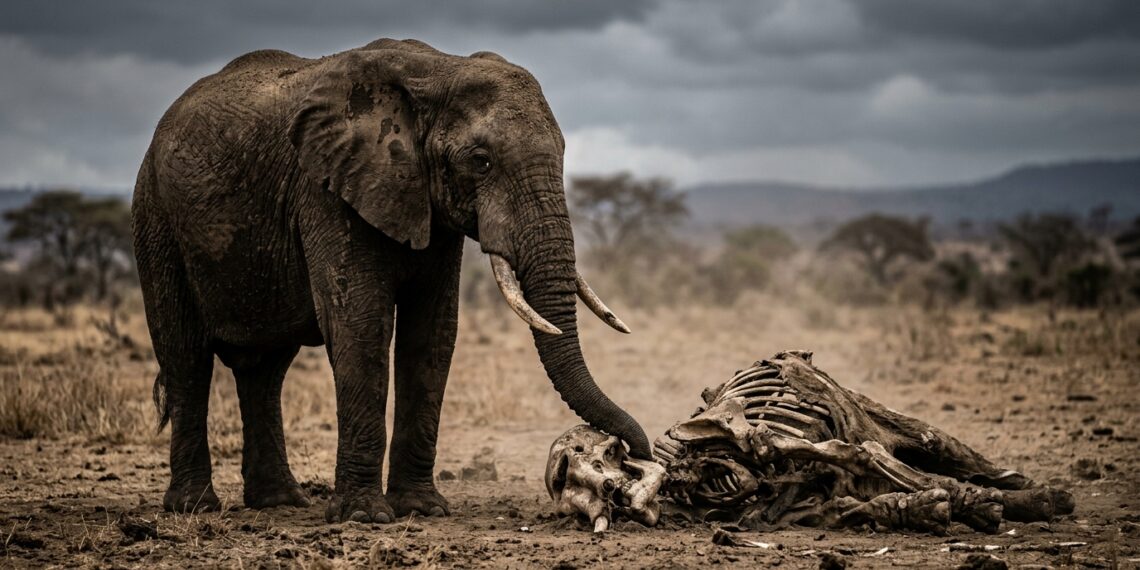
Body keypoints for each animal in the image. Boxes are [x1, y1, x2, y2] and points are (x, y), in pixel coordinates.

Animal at [131, 37, 651, 523]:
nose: (633, 456)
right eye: (481, 161)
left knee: (265, 370)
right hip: (156, 219)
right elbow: (361, 326)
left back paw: (280, 501)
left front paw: (422, 509)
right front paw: (363, 516)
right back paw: (194, 507)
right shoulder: (327, 189)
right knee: (186, 357)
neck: (439, 70)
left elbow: (433, 334)